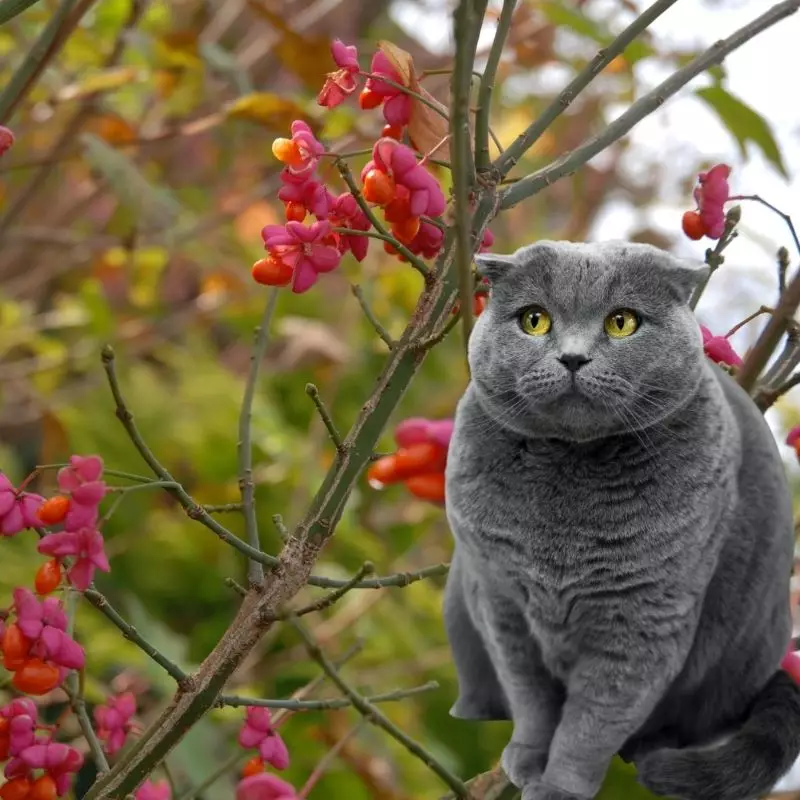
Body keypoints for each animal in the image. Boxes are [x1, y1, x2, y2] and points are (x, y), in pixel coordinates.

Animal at [444, 242, 800, 800]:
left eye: (622, 322)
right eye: (534, 320)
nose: (572, 357)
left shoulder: (643, 619)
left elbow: (593, 721)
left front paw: (560, 786)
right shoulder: (502, 605)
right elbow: (531, 701)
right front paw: (527, 758)